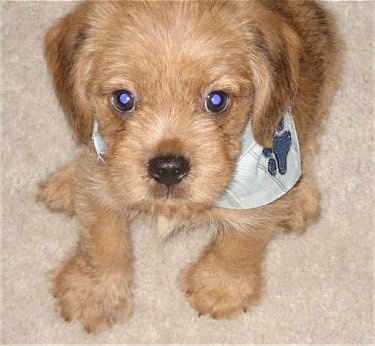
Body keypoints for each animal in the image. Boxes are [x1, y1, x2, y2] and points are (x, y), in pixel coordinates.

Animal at [39, 0, 344, 336]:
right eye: (123, 99)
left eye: (217, 100)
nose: (168, 168)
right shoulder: (102, 177)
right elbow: (101, 239)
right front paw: (95, 293)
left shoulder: (262, 191)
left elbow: (240, 243)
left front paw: (219, 289)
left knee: (310, 141)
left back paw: (302, 198)